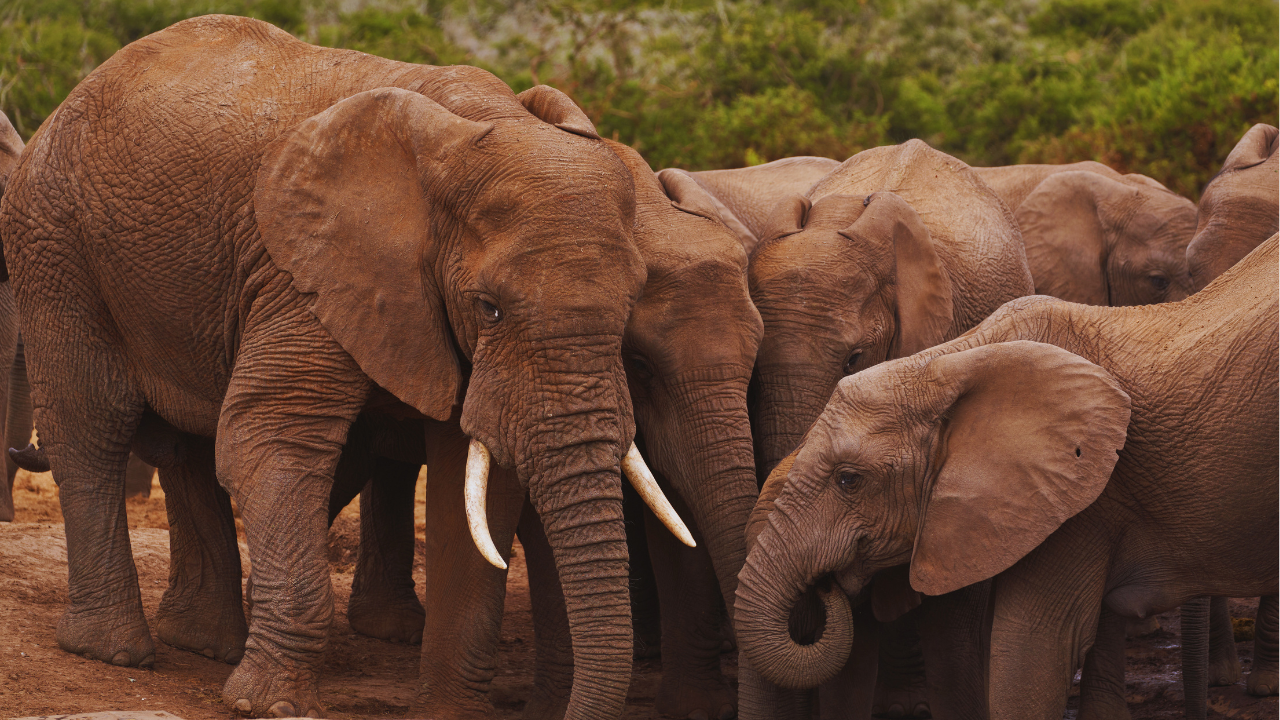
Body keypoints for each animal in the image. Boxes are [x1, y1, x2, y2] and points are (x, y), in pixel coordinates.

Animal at [0, 15, 692, 718]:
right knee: (94, 423)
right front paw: (267, 705)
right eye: (490, 308)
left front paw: (446, 712)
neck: (466, 130)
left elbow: (474, 484)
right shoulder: (302, 269)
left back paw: (200, 643)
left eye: (634, 305)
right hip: (53, 242)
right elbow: (270, 439)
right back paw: (113, 651)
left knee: (184, 444)